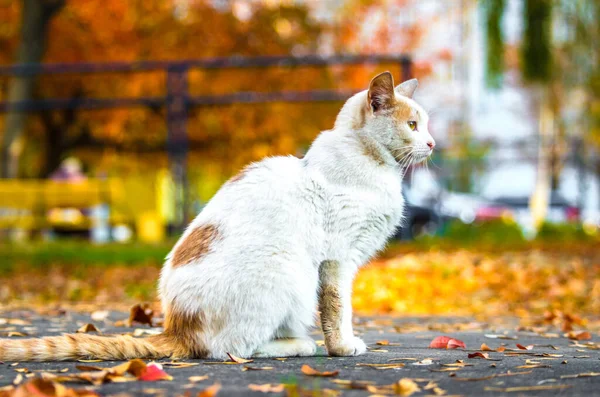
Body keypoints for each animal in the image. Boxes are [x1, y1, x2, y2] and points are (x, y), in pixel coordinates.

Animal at [0, 70, 434, 358]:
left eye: (425, 125)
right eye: (413, 124)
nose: (431, 143)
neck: (375, 166)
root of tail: (177, 327)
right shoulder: (336, 260)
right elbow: (338, 309)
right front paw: (343, 346)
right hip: (289, 269)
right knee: (234, 349)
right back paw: (299, 344)